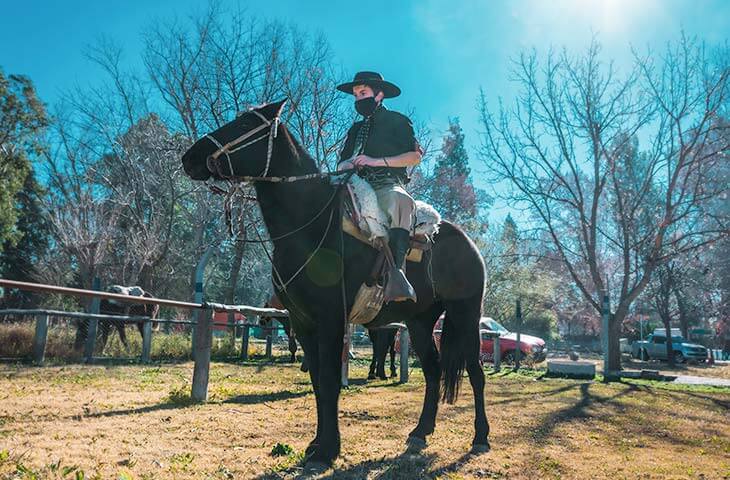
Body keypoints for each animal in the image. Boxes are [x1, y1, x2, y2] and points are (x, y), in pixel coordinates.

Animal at [182, 99, 490, 466]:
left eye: (244, 124)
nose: (190, 157)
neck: (309, 224)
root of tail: (467, 243)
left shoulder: (331, 318)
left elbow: (330, 380)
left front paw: (328, 450)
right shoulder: (303, 322)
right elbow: (318, 380)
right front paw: (318, 444)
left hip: (466, 314)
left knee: (475, 371)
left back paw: (480, 437)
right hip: (419, 321)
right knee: (433, 369)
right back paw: (420, 432)